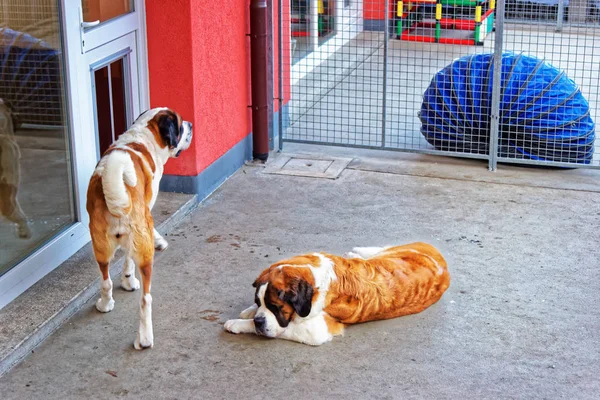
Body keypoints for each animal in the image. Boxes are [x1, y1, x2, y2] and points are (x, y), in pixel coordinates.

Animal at [86, 107, 192, 350]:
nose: (191, 125)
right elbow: (129, 258)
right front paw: (130, 278)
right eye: (181, 125)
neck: (144, 135)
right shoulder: (147, 209)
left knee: (105, 280)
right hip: (143, 250)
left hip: (100, 245)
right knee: (146, 298)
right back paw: (144, 338)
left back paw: (105, 305)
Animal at [225, 242, 450, 346]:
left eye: (277, 308)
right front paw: (249, 311)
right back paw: (355, 252)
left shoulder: (316, 330)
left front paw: (238, 323)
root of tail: (443, 264)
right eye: (260, 302)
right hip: (391, 252)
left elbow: (283, 328)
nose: (259, 321)